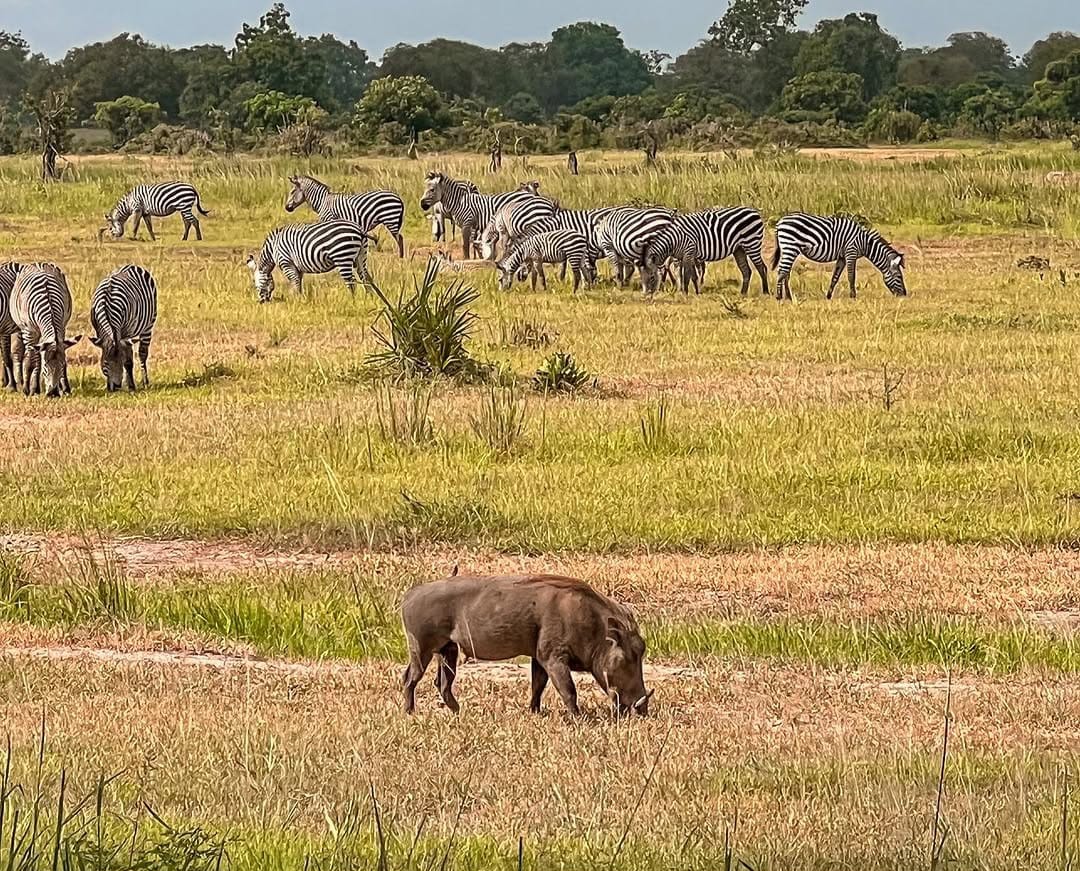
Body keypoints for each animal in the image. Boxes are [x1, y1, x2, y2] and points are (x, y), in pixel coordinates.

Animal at [10, 263, 80, 397]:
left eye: (62, 366)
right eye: (46, 368)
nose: (52, 393)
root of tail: (39, 263)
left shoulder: (61, 328)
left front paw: (65, 389)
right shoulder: (30, 331)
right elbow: (31, 360)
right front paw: (29, 390)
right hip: (25, 329)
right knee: (28, 355)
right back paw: (27, 386)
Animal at [771, 213, 907, 301]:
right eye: (899, 277)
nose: (904, 295)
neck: (865, 243)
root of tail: (780, 222)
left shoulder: (842, 256)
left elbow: (835, 277)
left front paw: (828, 296)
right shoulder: (851, 252)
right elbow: (851, 276)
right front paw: (853, 296)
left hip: (789, 249)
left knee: (786, 272)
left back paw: (789, 297)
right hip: (790, 246)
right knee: (782, 271)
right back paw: (779, 297)